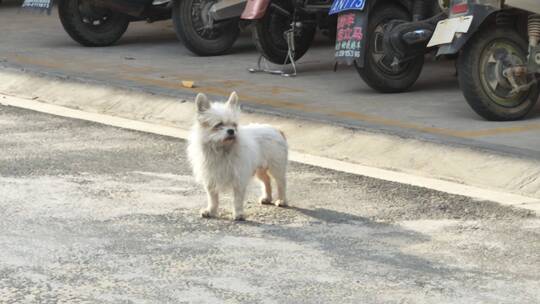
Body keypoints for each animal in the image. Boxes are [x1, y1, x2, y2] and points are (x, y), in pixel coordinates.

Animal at [188, 91, 288, 220]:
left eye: (234, 124)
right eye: (218, 124)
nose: (231, 131)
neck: (222, 149)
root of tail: (276, 129)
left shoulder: (239, 179)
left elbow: (238, 199)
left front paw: (239, 213)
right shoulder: (211, 178)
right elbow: (213, 198)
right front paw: (211, 210)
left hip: (276, 168)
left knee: (281, 183)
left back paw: (282, 200)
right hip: (260, 169)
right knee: (266, 180)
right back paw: (267, 197)